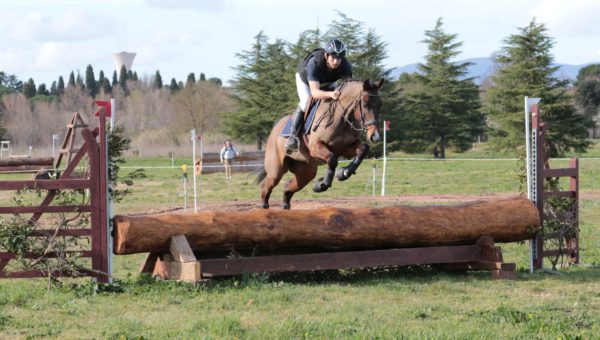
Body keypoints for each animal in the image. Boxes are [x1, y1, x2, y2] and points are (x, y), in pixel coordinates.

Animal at [255, 78, 382, 209]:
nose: (375, 136)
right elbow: (332, 159)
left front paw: (344, 173)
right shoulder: (315, 147)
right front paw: (322, 184)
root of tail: (275, 128)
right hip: (276, 170)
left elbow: (363, 149)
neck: (341, 119)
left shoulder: (346, 148)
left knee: (289, 186)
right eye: (365, 105)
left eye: (380, 105)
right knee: (267, 186)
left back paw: (285, 205)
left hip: (306, 171)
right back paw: (264, 207)